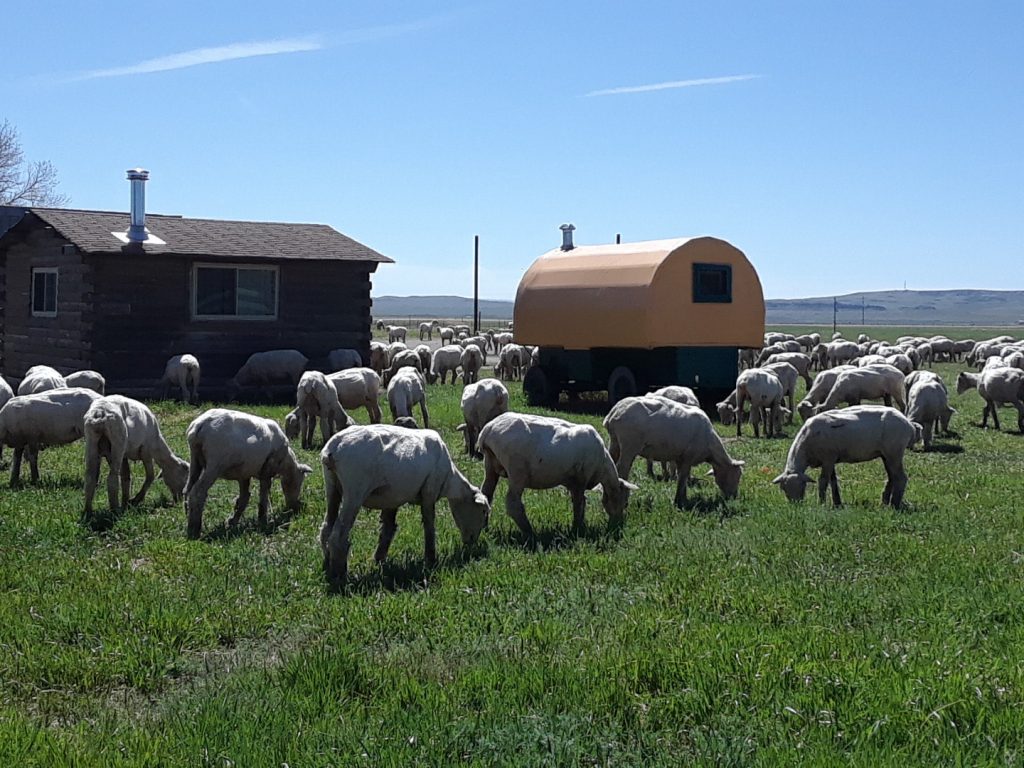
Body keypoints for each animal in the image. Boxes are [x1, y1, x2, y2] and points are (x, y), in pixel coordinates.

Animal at [184, 408, 313, 538]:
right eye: (299, 482)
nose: (294, 507)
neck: (285, 462)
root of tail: (200, 424)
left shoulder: (244, 474)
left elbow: (244, 498)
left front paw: (232, 522)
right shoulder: (267, 471)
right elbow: (263, 497)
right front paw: (263, 520)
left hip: (195, 460)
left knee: (188, 489)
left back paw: (188, 518)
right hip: (215, 465)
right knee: (197, 493)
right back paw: (194, 530)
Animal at [319, 424, 490, 585]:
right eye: (483, 511)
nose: (472, 543)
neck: (449, 481)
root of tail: (333, 448)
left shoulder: (391, 499)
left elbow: (388, 529)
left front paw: (379, 560)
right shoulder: (430, 491)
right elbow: (429, 526)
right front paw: (430, 559)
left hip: (332, 486)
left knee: (326, 528)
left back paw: (327, 564)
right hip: (355, 490)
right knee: (338, 535)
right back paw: (339, 574)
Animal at [478, 412, 636, 539]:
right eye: (626, 503)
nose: (617, 524)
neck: (603, 467)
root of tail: (488, 429)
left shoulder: (573, 483)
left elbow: (580, 502)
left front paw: (579, 526)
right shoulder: (580, 479)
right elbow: (579, 503)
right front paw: (577, 529)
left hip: (491, 463)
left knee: (486, 493)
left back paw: (485, 527)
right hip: (517, 470)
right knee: (513, 503)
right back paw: (530, 532)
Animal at [604, 397, 744, 508]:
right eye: (738, 475)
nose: (734, 497)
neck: (710, 447)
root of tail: (614, 412)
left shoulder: (680, 458)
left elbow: (681, 477)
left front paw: (683, 497)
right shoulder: (688, 457)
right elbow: (682, 478)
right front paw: (679, 501)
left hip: (615, 442)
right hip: (629, 445)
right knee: (622, 468)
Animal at [773, 405, 920, 508]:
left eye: (803, 486)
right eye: (783, 488)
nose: (796, 505)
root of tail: (909, 424)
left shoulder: (828, 458)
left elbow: (823, 481)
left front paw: (821, 503)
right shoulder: (831, 459)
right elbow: (833, 481)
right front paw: (837, 503)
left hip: (894, 452)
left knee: (901, 477)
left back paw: (894, 504)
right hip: (886, 455)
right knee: (892, 477)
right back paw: (884, 502)